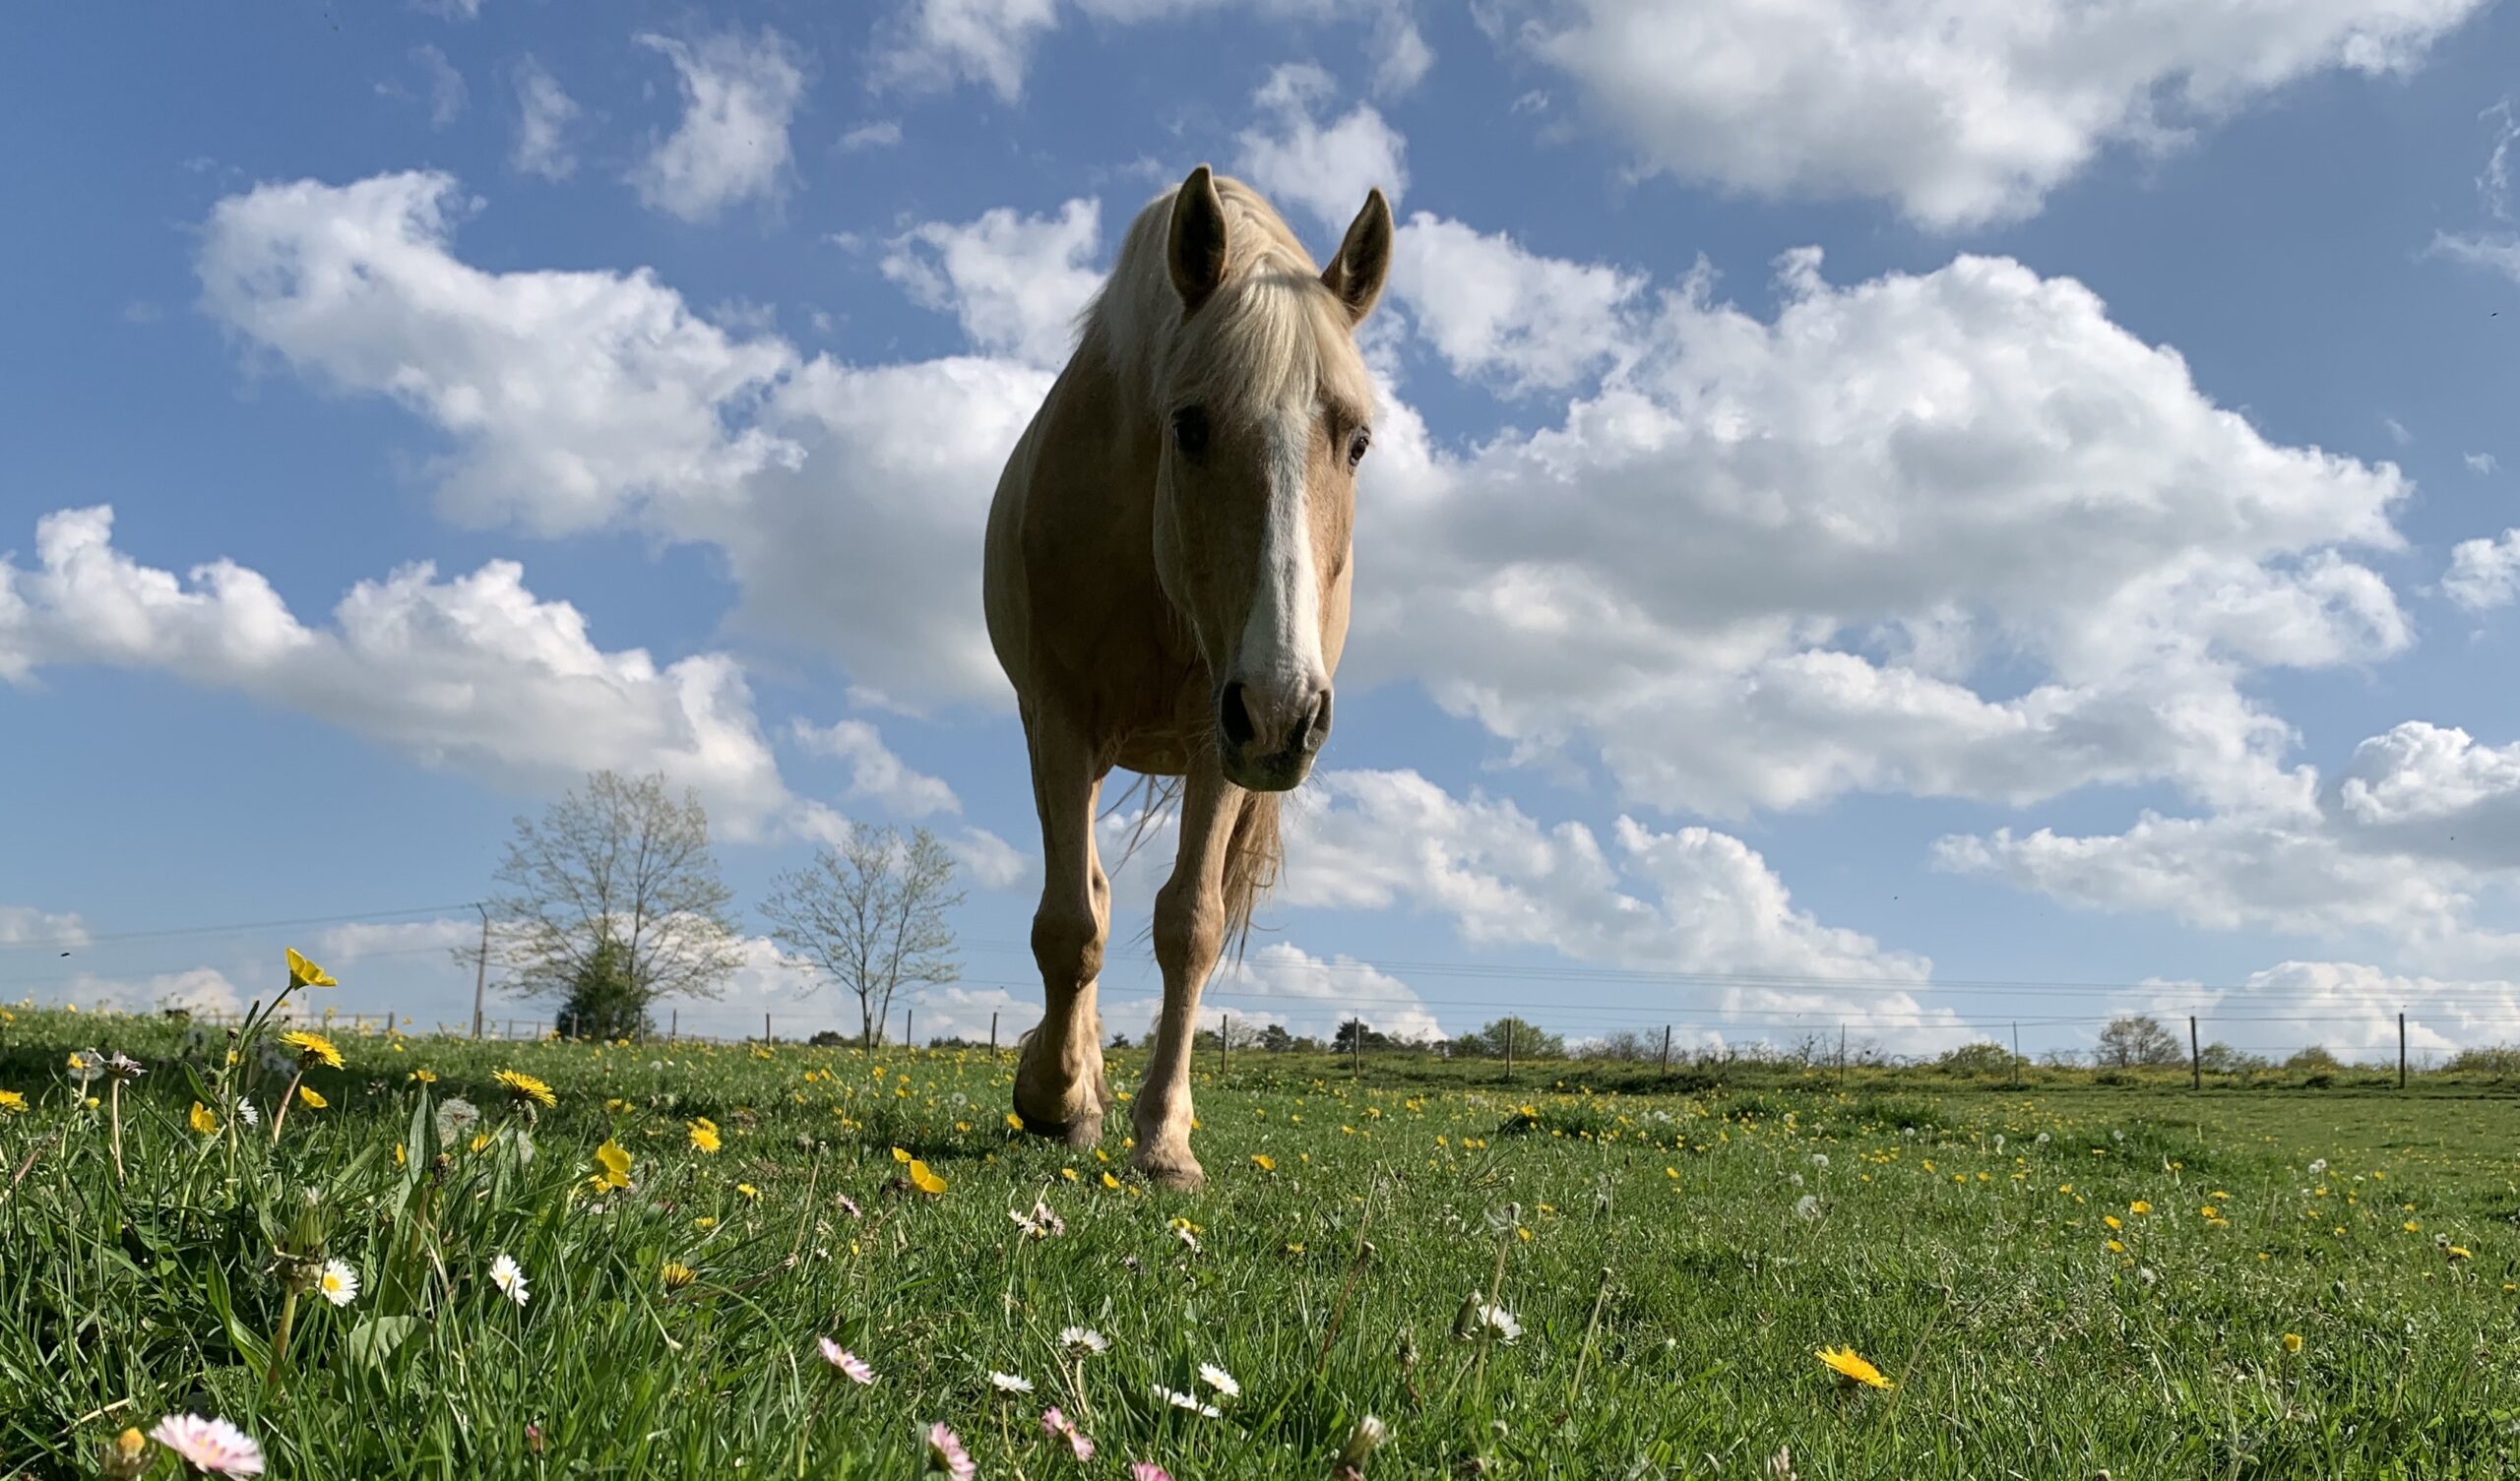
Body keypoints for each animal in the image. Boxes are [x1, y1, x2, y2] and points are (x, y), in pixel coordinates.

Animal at [977, 162, 1401, 1183]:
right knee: (1084, 897)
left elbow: (1190, 926)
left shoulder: (1221, 745)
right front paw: (1053, 1096)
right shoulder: (1062, 721)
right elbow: (1070, 925)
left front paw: (1164, 1136)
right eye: (1190, 425)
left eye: (1357, 441)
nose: (1287, 709)